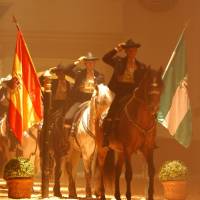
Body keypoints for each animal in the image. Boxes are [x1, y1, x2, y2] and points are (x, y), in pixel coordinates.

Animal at [95, 67, 164, 200]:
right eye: (148, 86)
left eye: (161, 87)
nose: (154, 108)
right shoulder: (128, 150)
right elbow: (128, 174)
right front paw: (128, 195)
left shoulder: (148, 149)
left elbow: (151, 171)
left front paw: (150, 195)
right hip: (102, 149)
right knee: (100, 168)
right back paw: (103, 194)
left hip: (120, 152)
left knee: (117, 170)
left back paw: (117, 195)